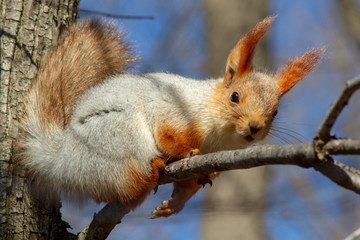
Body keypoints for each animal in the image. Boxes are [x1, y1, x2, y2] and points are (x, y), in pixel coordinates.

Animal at [16, 16, 324, 218]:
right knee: (128, 185)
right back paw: (148, 173)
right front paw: (185, 150)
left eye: (276, 111)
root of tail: (59, 159)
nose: (255, 127)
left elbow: (189, 184)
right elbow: (169, 134)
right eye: (235, 96)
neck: (220, 136)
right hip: (117, 137)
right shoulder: (171, 108)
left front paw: (174, 204)